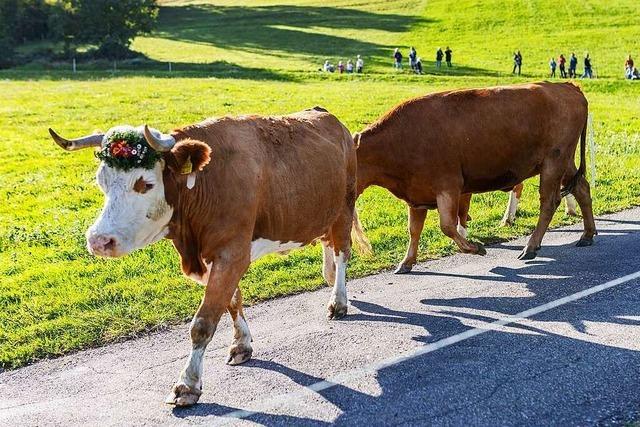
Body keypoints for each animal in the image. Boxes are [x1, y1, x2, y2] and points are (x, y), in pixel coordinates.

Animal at [350, 81, 596, 274]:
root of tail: (567, 86)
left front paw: (475, 248)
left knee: (549, 202)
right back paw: (587, 235)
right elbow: (414, 230)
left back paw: (531, 247)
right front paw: (406, 262)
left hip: (554, 162)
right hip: (565, 163)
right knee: (582, 188)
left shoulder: (449, 186)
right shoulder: (416, 196)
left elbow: (447, 226)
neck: (399, 141)